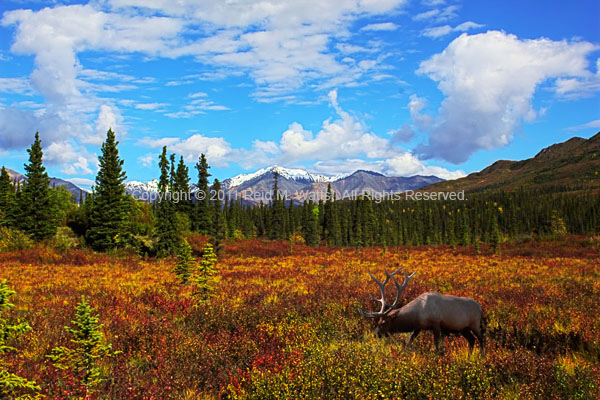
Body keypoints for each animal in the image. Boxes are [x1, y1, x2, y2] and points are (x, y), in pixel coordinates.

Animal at [358, 266, 486, 356]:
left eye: (383, 322)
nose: (375, 334)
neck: (418, 314)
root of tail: (480, 307)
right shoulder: (418, 327)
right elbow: (408, 342)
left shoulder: (436, 323)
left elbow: (437, 345)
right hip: (464, 328)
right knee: (472, 340)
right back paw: (469, 357)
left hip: (475, 324)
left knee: (481, 339)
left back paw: (482, 357)